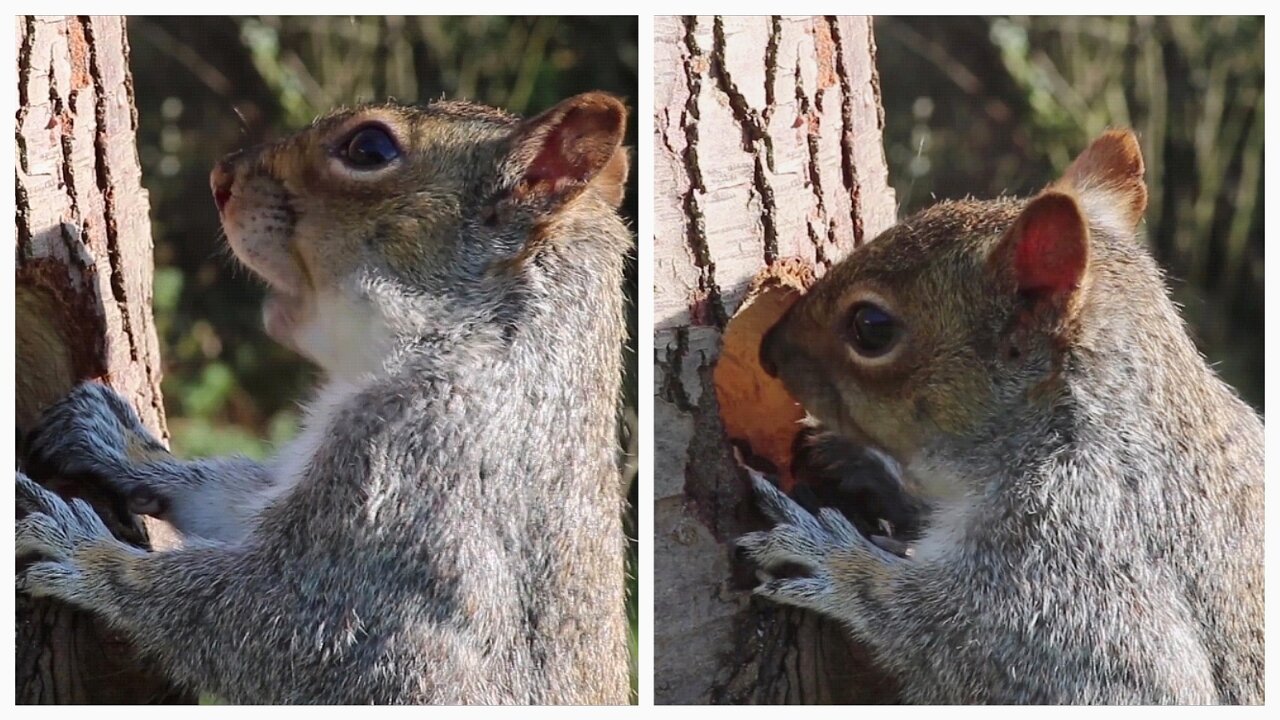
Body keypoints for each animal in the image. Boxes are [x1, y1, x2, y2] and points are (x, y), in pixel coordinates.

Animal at [17, 89, 637, 702]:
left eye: (369, 148)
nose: (221, 177)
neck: (475, 343)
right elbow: (232, 500)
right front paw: (121, 446)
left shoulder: (416, 479)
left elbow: (285, 628)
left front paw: (84, 552)